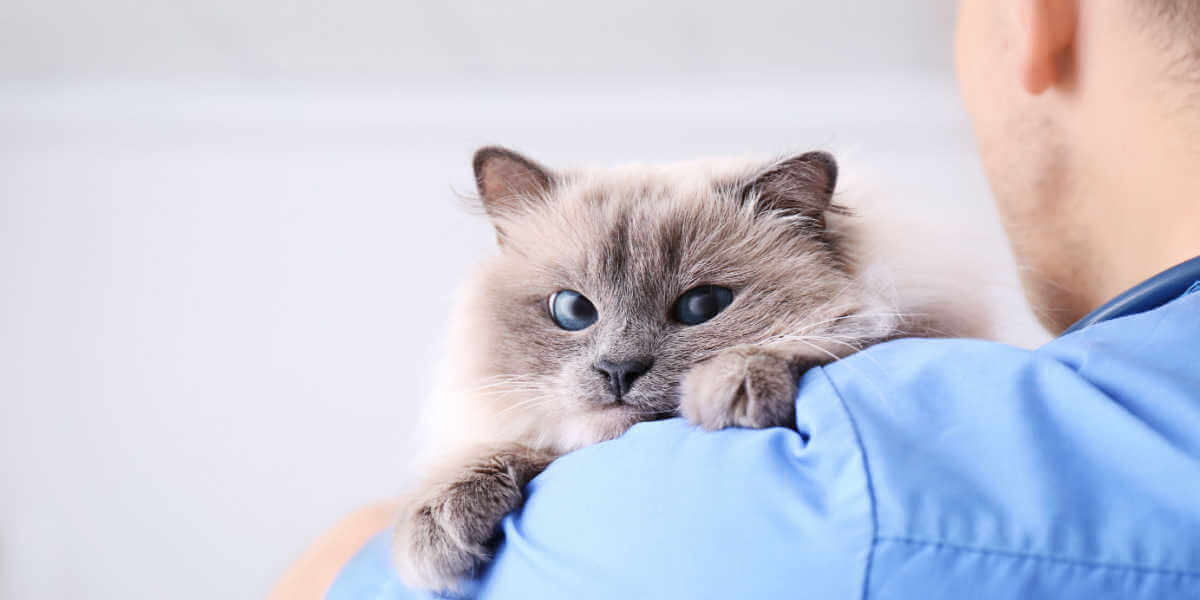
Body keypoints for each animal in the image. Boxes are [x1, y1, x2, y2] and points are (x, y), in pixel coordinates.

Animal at [396, 145, 1012, 590]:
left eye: (702, 306)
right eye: (572, 311)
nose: (619, 371)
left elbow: (831, 332)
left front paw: (729, 388)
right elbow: (500, 450)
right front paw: (434, 529)